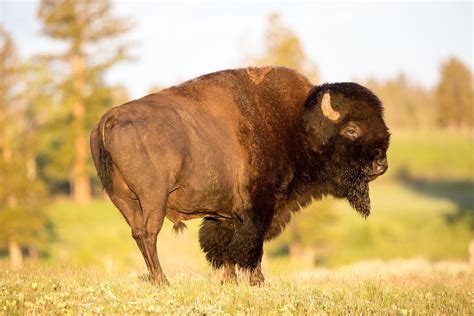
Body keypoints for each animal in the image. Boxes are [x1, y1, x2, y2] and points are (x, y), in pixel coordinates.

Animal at [89, 66, 388, 286]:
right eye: (351, 129)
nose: (380, 165)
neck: (298, 123)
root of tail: (110, 119)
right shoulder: (262, 207)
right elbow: (252, 245)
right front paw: (258, 281)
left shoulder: (224, 214)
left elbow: (223, 245)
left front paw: (230, 281)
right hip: (153, 199)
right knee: (149, 234)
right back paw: (163, 281)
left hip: (123, 201)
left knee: (138, 234)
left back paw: (156, 279)